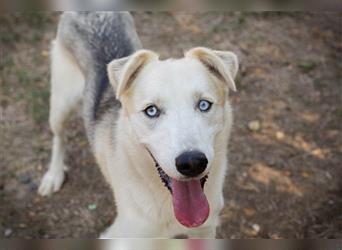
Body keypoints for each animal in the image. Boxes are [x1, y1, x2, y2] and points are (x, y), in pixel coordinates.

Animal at [38, 11, 238, 238]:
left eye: (204, 105)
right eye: (151, 111)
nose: (192, 162)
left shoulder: (205, 230)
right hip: (61, 104)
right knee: (59, 137)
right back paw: (54, 174)